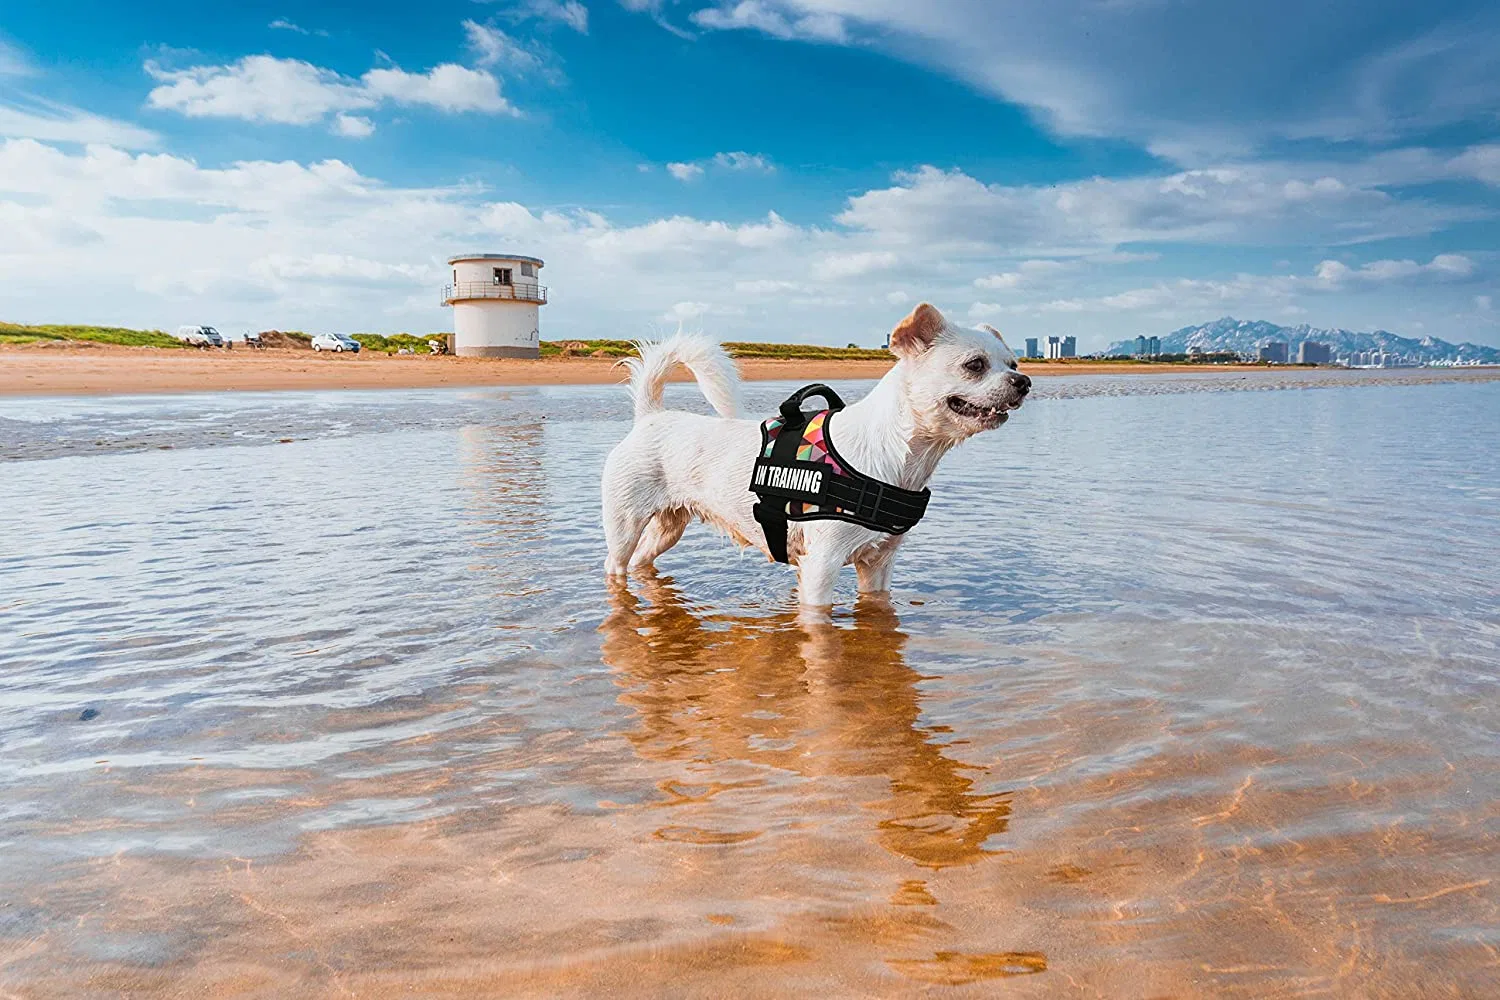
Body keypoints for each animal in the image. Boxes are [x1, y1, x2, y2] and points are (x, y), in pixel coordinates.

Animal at [597, 301, 1032, 605]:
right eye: (974, 365)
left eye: (1012, 362)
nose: (1024, 381)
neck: (900, 459)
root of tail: (650, 417)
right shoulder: (821, 568)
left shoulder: (879, 566)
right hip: (625, 524)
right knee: (616, 565)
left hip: (668, 527)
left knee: (643, 562)